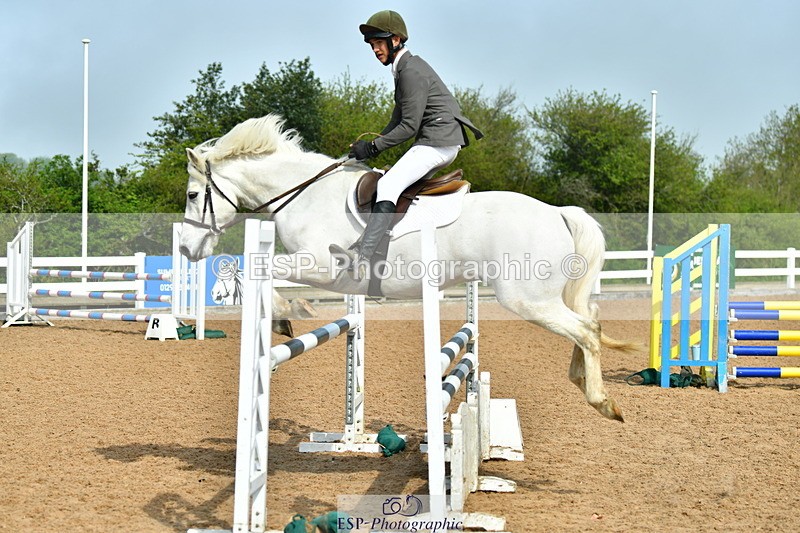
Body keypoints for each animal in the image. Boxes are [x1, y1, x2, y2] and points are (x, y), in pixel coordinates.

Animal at [179, 114, 637, 422]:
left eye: (192, 195)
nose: (186, 248)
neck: (305, 194)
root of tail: (558, 212)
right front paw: (284, 318)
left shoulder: (323, 266)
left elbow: (260, 268)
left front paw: (284, 316)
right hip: (540, 298)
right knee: (588, 322)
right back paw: (582, 380)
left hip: (527, 299)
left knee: (586, 329)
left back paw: (601, 400)